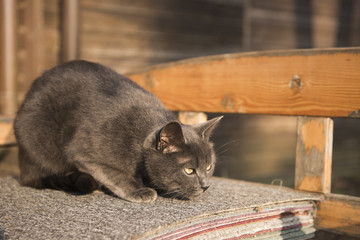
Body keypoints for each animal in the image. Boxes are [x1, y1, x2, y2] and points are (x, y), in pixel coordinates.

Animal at [14, 60, 221, 202]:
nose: (206, 186)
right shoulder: (84, 151)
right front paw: (140, 190)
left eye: (209, 167)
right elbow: (115, 174)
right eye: (189, 170)